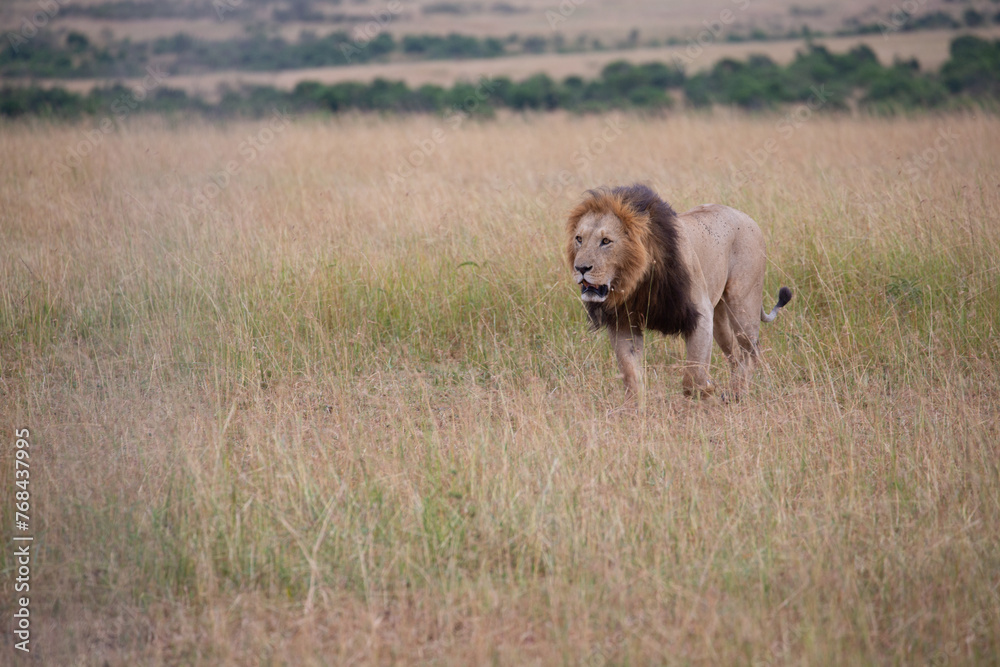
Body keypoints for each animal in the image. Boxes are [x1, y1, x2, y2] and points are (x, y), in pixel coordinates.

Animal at [566, 183, 792, 400]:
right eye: (579, 239)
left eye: (606, 241)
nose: (581, 268)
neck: (637, 279)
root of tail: (746, 216)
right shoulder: (623, 323)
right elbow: (631, 374)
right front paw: (635, 408)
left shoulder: (700, 314)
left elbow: (693, 376)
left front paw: (707, 389)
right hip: (719, 320)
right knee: (735, 354)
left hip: (742, 304)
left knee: (751, 351)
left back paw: (737, 393)